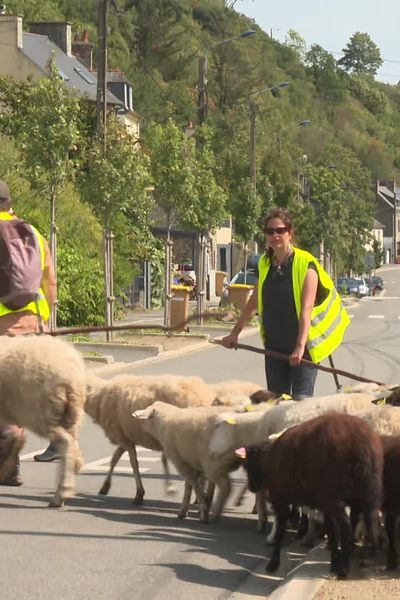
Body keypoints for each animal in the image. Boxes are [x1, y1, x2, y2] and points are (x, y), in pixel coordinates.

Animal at [0, 336, 86, 508]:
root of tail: (71, 371)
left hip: (39, 412)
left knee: (65, 442)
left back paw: (61, 493)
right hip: (69, 415)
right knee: (72, 444)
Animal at [239, 414, 382, 580]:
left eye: (249, 465)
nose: (252, 487)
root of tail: (359, 444)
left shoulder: (281, 499)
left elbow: (280, 531)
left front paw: (273, 564)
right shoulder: (324, 504)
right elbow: (331, 531)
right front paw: (333, 563)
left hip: (335, 497)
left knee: (346, 525)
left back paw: (344, 570)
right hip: (365, 493)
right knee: (365, 520)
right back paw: (363, 556)